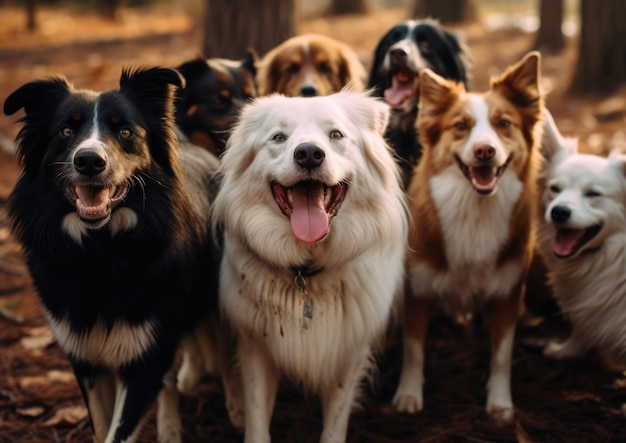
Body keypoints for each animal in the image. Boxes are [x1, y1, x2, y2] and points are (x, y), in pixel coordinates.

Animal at [2, 67, 221, 443]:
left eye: (125, 131)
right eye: (66, 130)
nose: (89, 161)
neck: (101, 250)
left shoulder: (148, 351)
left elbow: (121, 427)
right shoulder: (83, 353)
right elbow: (101, 423)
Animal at [211, 91, 410, 443]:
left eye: (336, 135)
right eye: (279, 137)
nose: (308, 155)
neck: (306, 271)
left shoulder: (350, 351)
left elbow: (336, 420)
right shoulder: (254, 344)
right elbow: (257, 415)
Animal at [392, 51, 544, 424]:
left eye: (504, 124)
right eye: (460, 126)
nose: (485, 151)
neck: (475, 211)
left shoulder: (507, 294)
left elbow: (501, 355)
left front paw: (500, 404)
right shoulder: (417, 290)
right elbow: (413, 351)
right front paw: (408, 396)